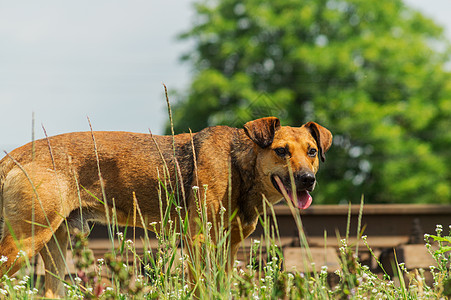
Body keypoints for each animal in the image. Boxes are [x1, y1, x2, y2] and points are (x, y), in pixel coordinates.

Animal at [0, 116, 332, 296]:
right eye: (281, 151)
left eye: (312, 152)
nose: (307, 179)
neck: (239, 164)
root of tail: (13, 156)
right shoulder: (199, 241)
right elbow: (201, 287)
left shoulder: (229, 246)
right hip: (24, 242)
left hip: (55, 244)